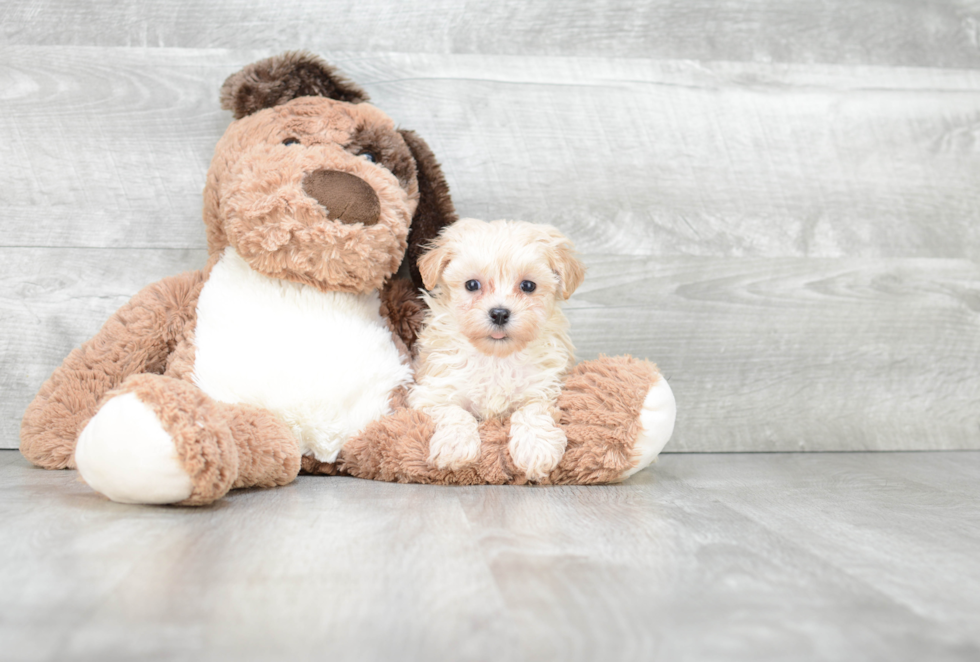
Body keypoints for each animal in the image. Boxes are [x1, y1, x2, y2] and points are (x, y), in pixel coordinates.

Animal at [408, 219, 584, 482]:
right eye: (472, 285)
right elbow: (454, 411)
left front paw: (536, 448)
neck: (496, 357)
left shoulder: (544, 389)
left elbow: (531, 411)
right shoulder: (434, 390)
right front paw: (455, 445)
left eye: (528, 286)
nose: (499, 313)